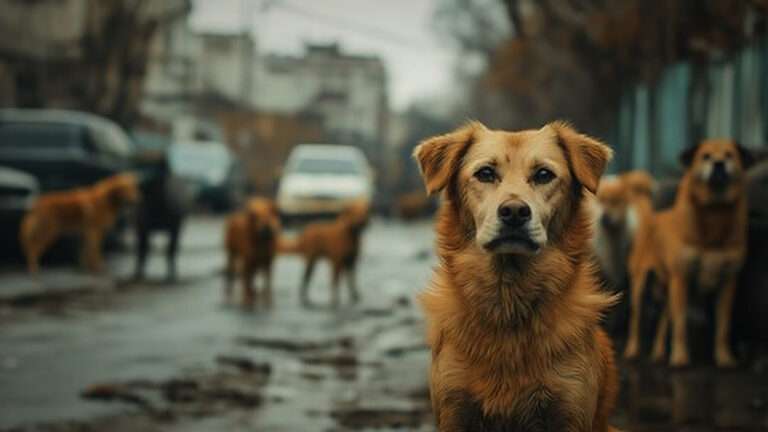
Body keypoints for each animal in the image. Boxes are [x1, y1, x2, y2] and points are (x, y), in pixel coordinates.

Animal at [624, 139, 756, 368]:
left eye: (729, 155)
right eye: (705, 156)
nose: (719, 164)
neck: (714, 213)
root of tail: (652, 219)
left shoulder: (727, 283)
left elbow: (723, 325)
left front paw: (724, 358)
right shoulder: (682, 277)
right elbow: (681, 322)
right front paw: (680, 358)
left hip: (668, 287)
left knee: (663, 319)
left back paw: (658, 353)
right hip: (641, 284)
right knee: (636, 318)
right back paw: (633, 351)